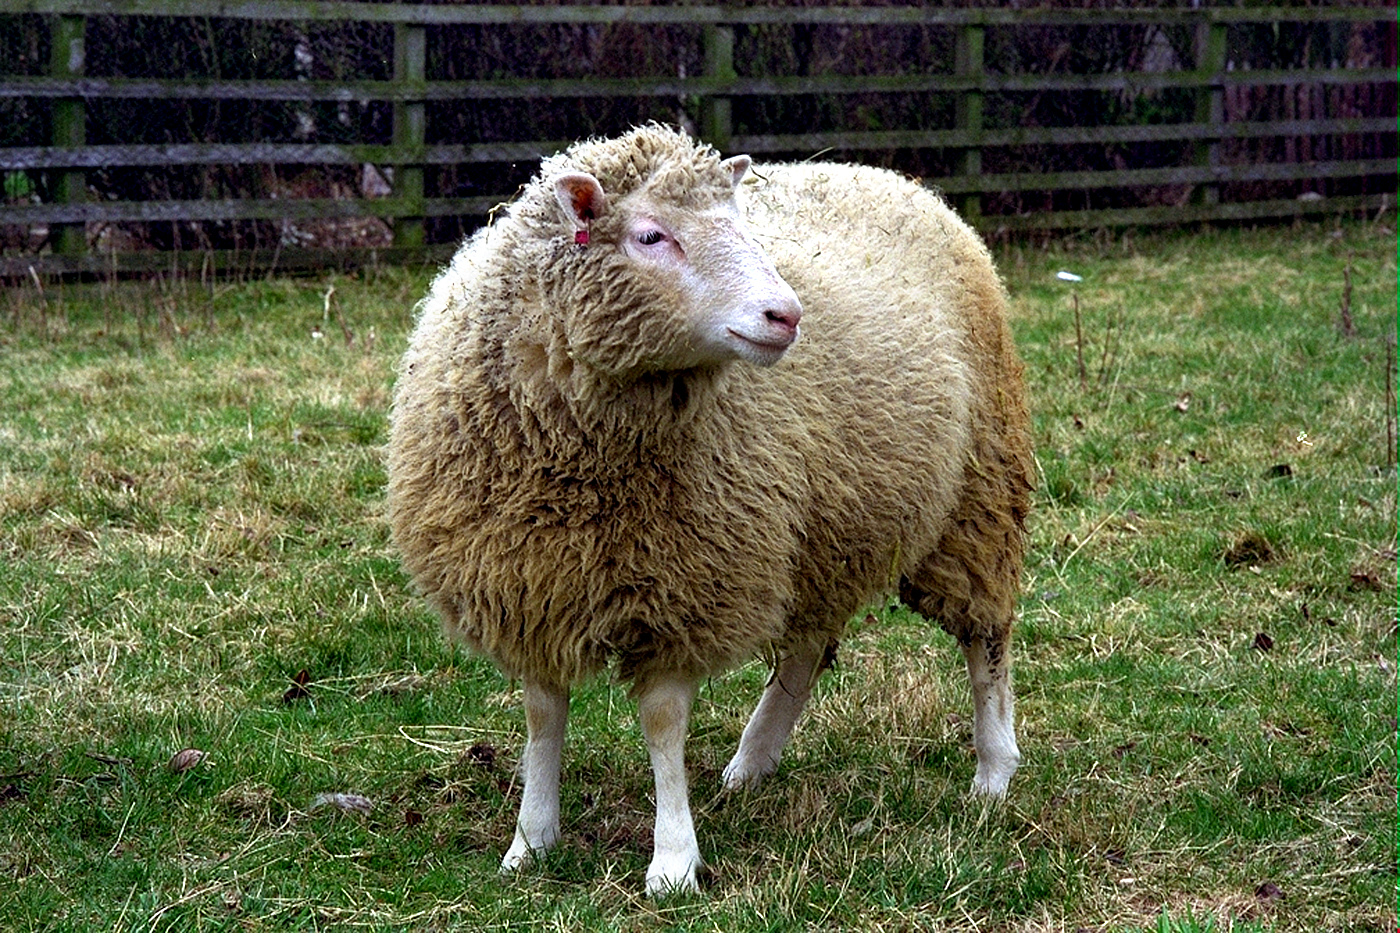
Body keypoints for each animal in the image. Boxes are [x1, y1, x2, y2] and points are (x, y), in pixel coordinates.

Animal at [389, 125, 1036, 896]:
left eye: (741, 224)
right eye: (649, 235)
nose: (786, 315)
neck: (579, 467)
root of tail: (883, 174)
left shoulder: (685, 583)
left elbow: (663, 721)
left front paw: (672, 861)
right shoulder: (532, 583)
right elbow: (543, 714)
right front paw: (531, 841)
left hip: (977, 491)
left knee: (985, 636)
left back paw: (994, 771)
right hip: (825, 525)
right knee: (808, 646)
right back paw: (752, 762)